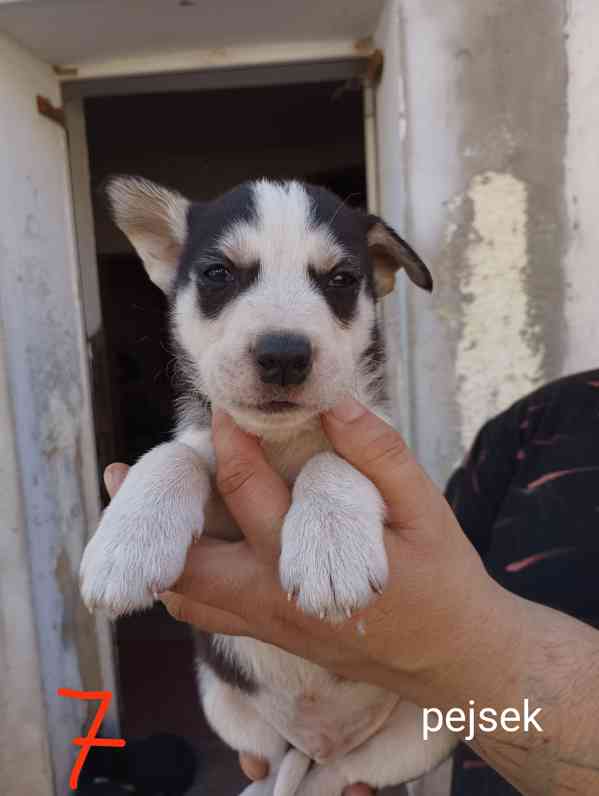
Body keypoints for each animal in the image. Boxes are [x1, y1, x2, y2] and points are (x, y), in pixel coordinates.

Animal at [79, 179, 454, 796]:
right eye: (217, 273)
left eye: (342, 279)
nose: (283, 355)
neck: (283, 443)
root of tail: (318, 740)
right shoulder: (212, 460)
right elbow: (173, 455)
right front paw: (127, 544)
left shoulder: (383, 446)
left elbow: (332, 461)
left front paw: (330, 548)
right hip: (223, 701)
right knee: (277, 769)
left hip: (424, 733)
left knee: (337, 777)